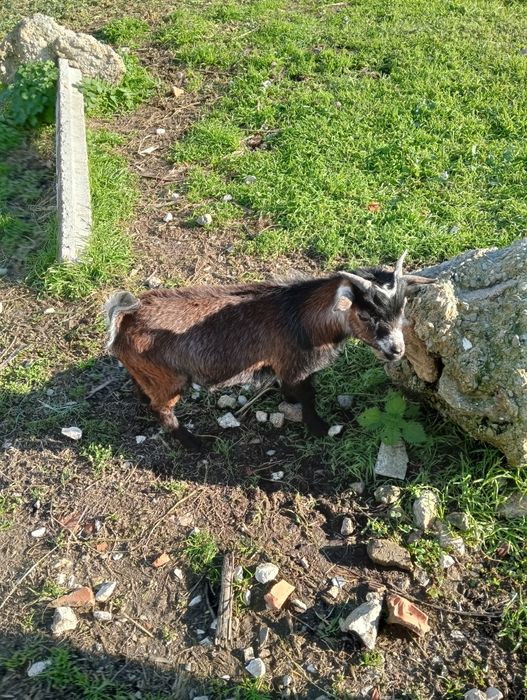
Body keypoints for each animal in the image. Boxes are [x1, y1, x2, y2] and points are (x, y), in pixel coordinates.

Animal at [105, 251, 434, 449]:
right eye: (365, 315)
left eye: (402, 308)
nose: (396, 350)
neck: (301, 315)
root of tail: (127, 315)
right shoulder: (296, 366)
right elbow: (308, 397)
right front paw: (320, 428)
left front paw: (289, 402)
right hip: (169, 380)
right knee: (162, 408)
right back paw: (194, 442)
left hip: (147, 373)